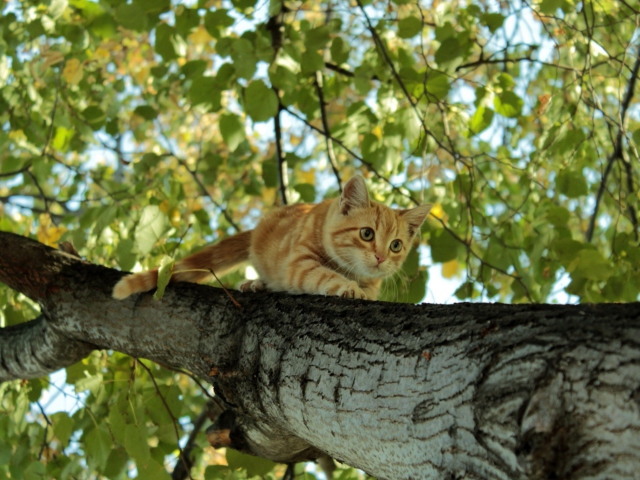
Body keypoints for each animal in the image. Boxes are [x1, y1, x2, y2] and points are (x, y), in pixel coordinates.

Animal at [112, 176, 432, 300]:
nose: (380, 257)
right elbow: (324, 274)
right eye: (367, 234)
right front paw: (349, 287)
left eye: (396, 245)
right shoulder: (298, 263)